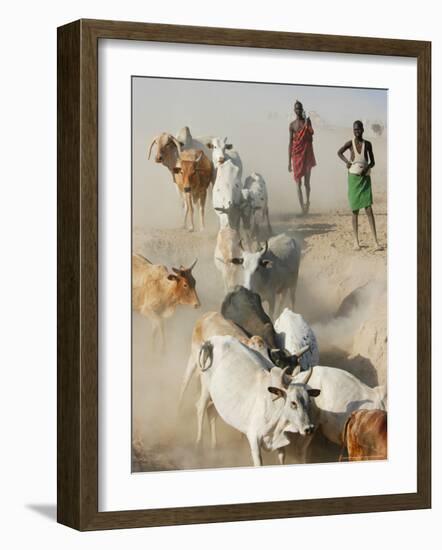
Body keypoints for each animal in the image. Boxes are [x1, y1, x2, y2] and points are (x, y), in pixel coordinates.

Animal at [198, 334, 322, 468]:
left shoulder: (280, 444)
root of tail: (213, 340)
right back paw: (199, 445)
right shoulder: (254, 438)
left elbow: (281, 458)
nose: (309, 428)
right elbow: (258, 462)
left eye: (309, 401)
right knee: (201, 408)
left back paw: (213, 446)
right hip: (205, 388)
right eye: (293, 403)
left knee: (211, 411)